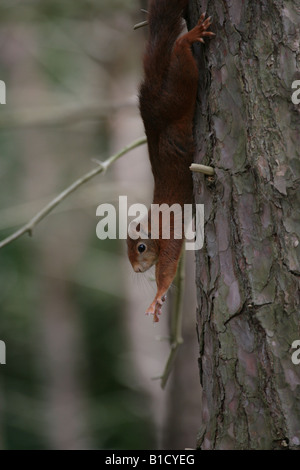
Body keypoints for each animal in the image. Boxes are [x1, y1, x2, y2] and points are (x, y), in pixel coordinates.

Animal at [126, 0, 213, 322]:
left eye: (140, 247)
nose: (136, 269)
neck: (153, 222)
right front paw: (159, 301)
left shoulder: (170, 234)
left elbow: (168, 265)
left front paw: (157, 296)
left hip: (177, 92)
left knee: (179, 56)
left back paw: (189, 38)